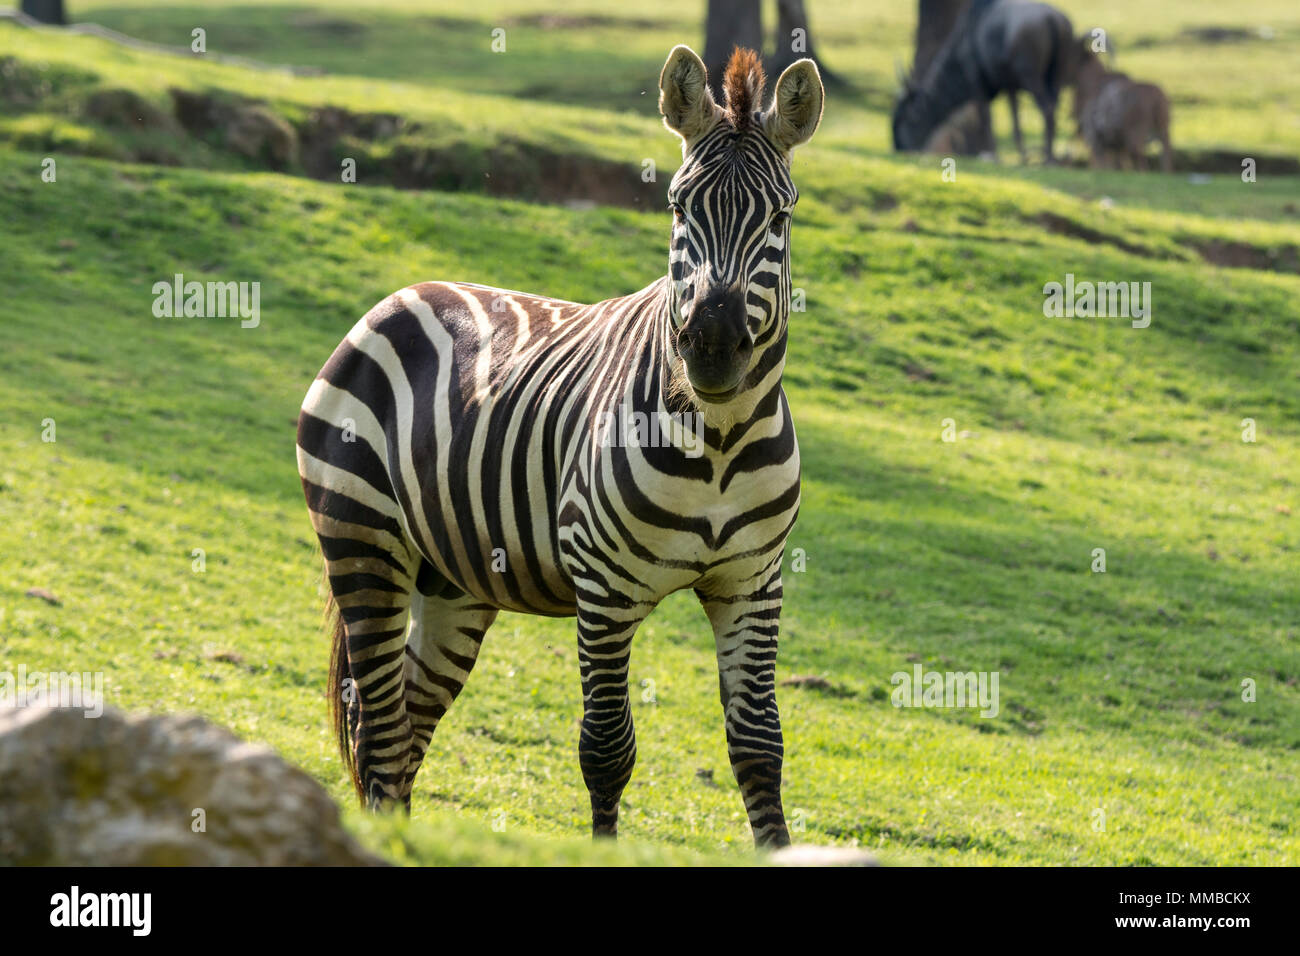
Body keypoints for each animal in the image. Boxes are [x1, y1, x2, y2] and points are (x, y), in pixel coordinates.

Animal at [296, 45, 823, 849]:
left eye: (779, 215)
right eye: (678, 207)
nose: (711, 344)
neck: (720, 439)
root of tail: (398, 297)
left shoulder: (752, 582)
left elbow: (760, 747)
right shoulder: (604, 589)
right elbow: (606, 748)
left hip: (452, 580)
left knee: (406, 728)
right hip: (363, 541)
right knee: (380, 730)